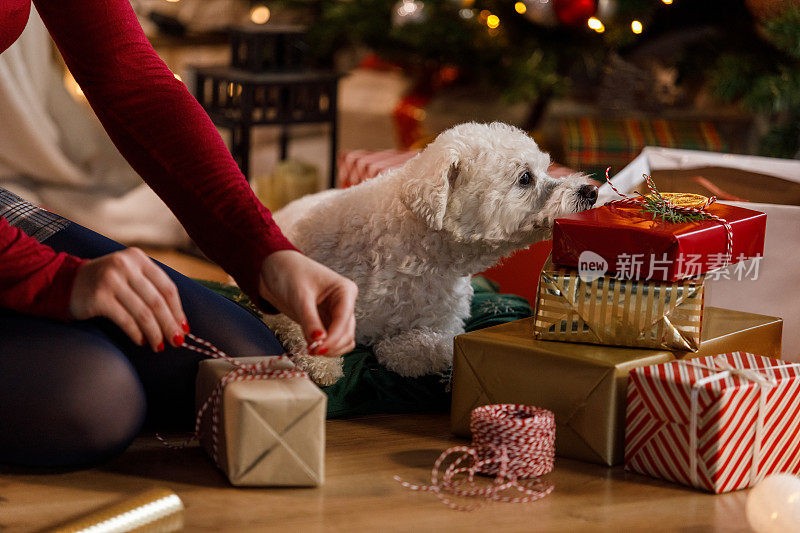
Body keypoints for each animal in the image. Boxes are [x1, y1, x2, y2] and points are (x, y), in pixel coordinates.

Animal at [268, 122, 592, 384]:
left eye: (546, 169)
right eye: (525, 177)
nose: (589, 191)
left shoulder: (440, 328)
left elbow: (428, 349)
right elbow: (300, 324)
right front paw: (322, 364)